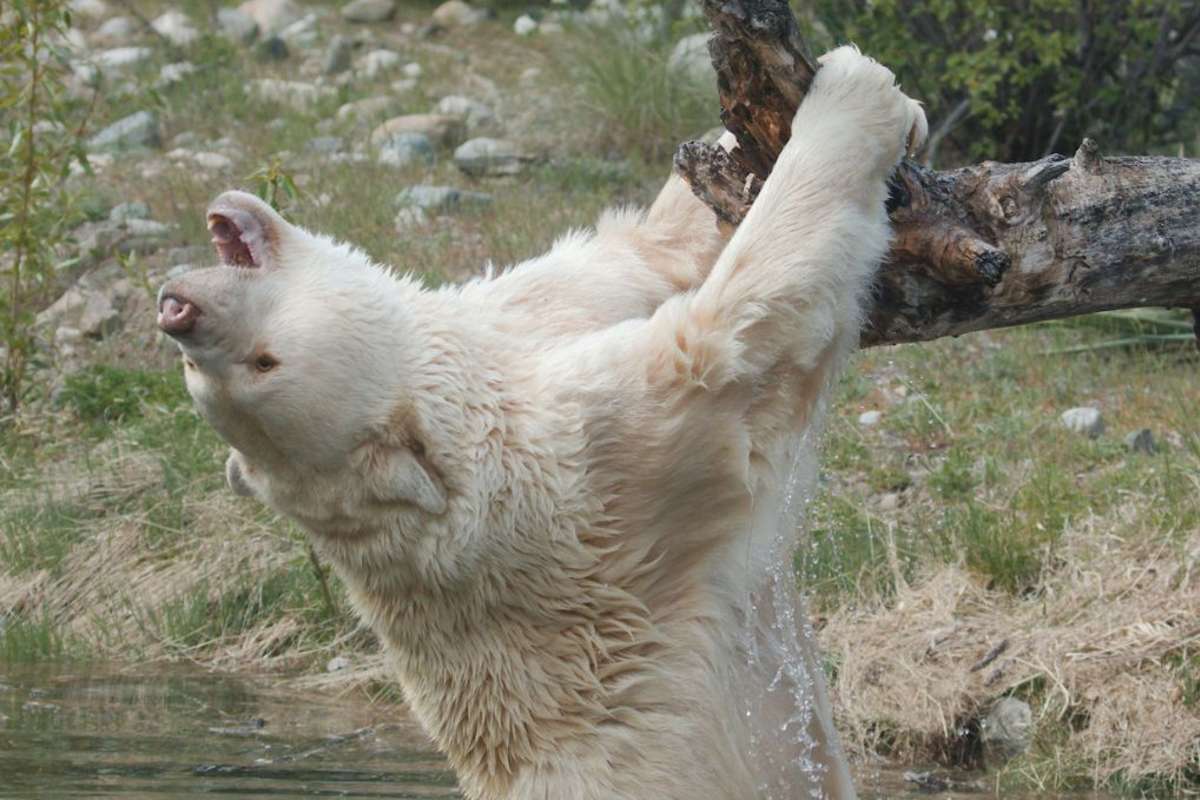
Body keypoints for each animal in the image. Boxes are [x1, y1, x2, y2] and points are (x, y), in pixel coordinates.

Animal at [157, 50, 926, 800]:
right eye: (261, 363)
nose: (180, 314)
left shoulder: (518, 327)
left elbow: (631, 257)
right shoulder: (597, 468)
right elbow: (734, 337)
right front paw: (858, 91)